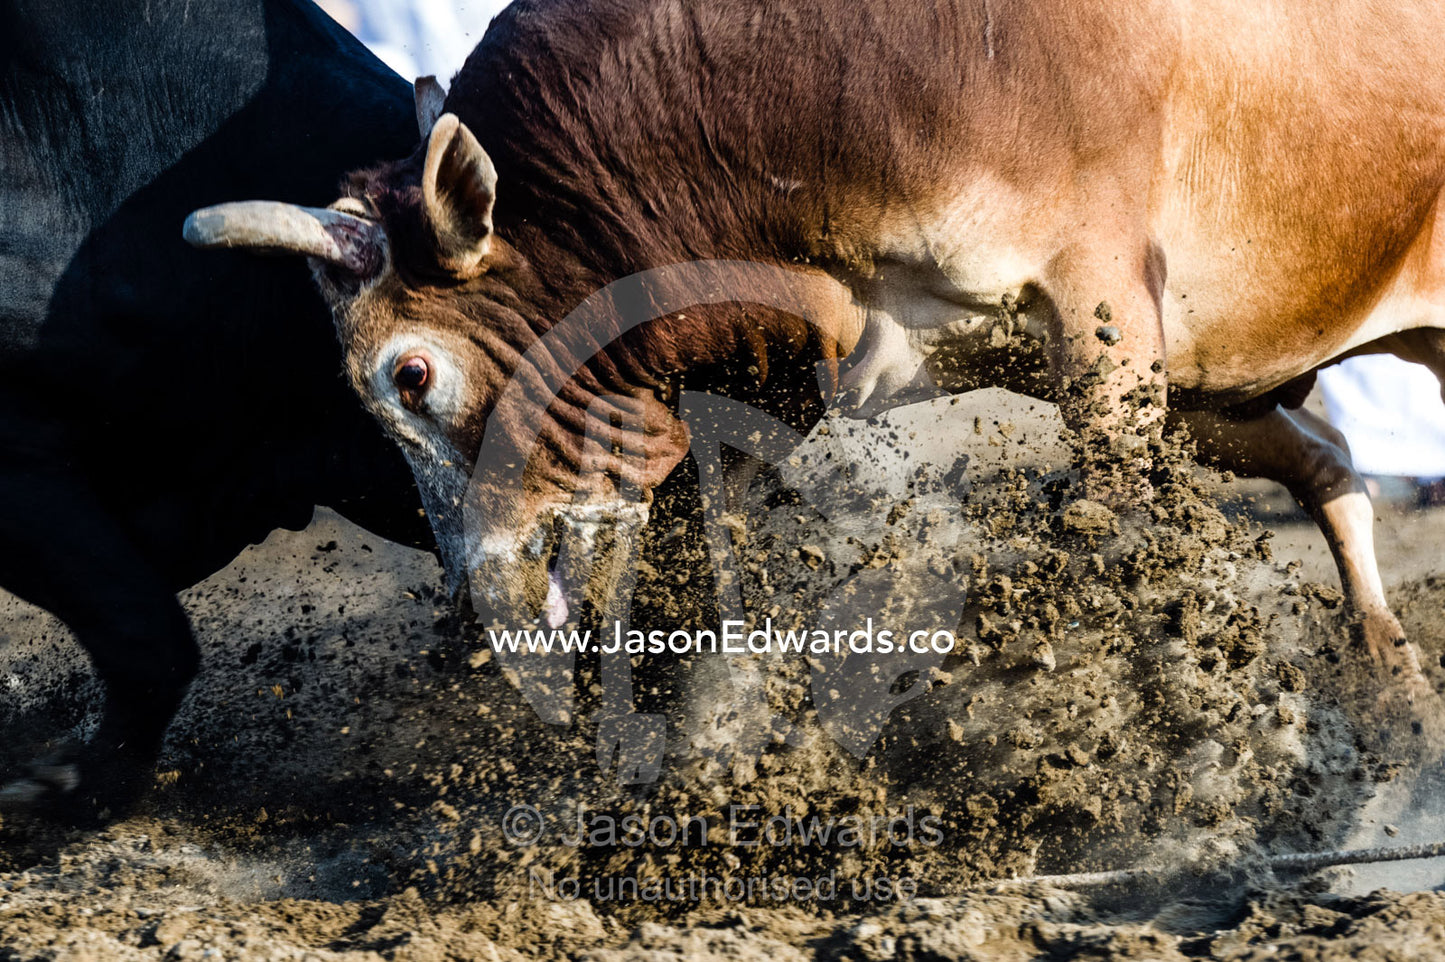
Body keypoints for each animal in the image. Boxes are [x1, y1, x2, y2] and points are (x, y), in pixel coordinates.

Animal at [186, 0, 1445, 700]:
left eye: (410, 372)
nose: (481, 603)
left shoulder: (1101, 309)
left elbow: (1102, 529)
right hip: (1217, 393)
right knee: (1331, 464)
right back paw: (1387, 686)